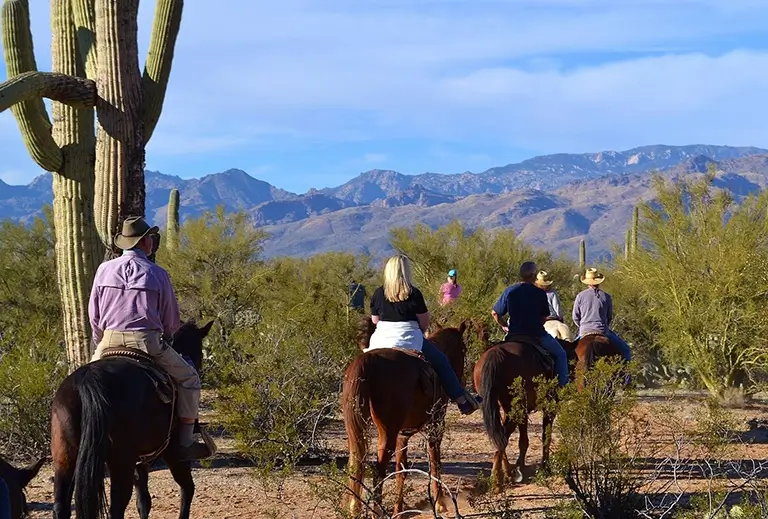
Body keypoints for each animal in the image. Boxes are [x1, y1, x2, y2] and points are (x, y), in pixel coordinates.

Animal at [50, 320, 213, 519]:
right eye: (199, 349)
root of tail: (90, 380)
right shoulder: (174, 454)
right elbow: (187, 488)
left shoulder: (140, 463)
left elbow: (143, 501)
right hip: (122, 462)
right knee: (117, 508)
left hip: (65, 459)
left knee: (60, 506)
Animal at [340, 316, 472, 516]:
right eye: (463, 349)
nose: (462, 380)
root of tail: (368, 360)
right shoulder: (436, 425)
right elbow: (435, 460)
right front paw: (440, 503)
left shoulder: (403, 434)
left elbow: (401, 470)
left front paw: (398, 510)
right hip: (387, 432)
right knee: (378, 469)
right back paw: (376, 511)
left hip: (355, 430)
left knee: (356, 462)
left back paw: (355, 508)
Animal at [472, 332, 580, 494]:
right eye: (574, 359)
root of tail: (496, 354)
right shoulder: (549, 407)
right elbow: (546, 436)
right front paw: (545, 467)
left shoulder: (521, 411)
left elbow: (523, 440)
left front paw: (520, 466)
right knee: (502, 438)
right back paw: (497, 482)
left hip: (504, 408)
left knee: (500, 437)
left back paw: (506, 473)